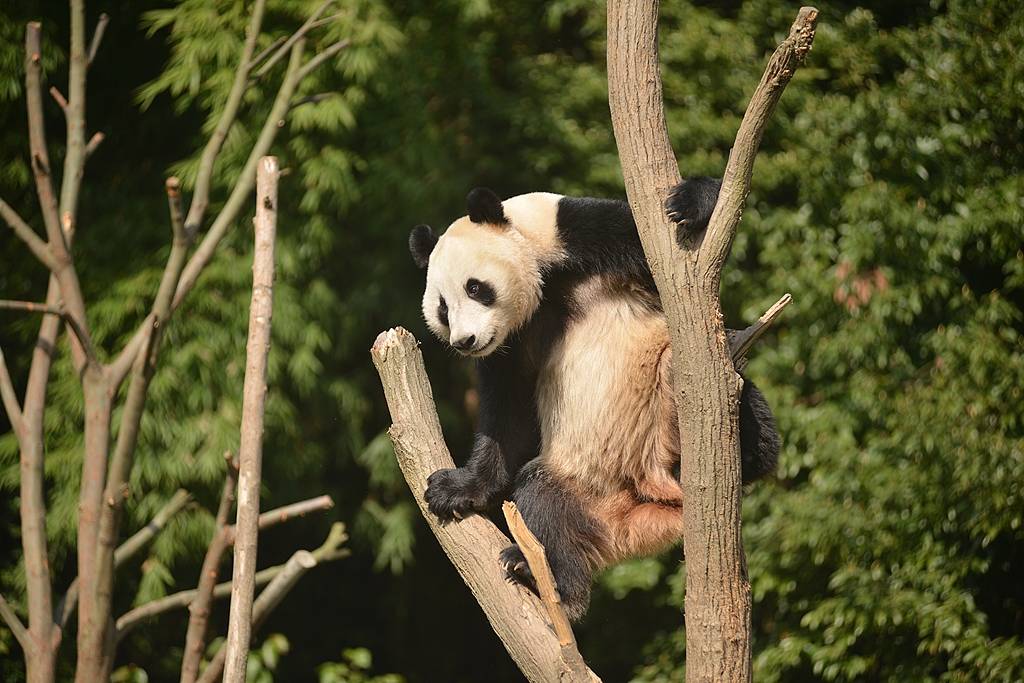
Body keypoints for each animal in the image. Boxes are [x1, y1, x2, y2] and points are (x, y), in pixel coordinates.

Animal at [407, 178, 774, 618]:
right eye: (443, 309)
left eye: (476, 288)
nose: (466, 341)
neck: (544, 285)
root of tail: (643, 511)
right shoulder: (509, 345)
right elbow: (508, 417)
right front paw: (454, 488)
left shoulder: (572, 235)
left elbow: (677, 252)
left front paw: (690, 202)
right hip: (580, 486)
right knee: (543, 500)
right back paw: (540, 572)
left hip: (672, 402)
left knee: (749, 407)